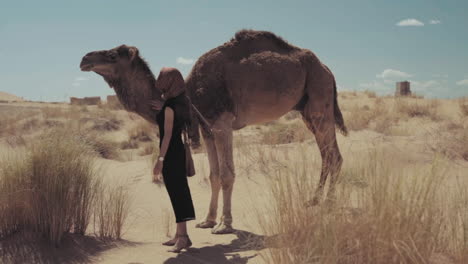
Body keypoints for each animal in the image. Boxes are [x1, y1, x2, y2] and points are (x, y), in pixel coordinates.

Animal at [79, 29, 348, 235]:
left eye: (113, 54)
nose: (84, 58)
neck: (186, 95)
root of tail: (327, 69)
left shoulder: (222, 123)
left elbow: (227, 174)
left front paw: (224, 225)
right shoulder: (206, 128)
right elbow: (214, 175)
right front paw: (207, 220)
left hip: (319, 98)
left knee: (333, 155)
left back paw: (330, 203)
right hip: (307, 109)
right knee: (327, 154)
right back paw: (314, 200)